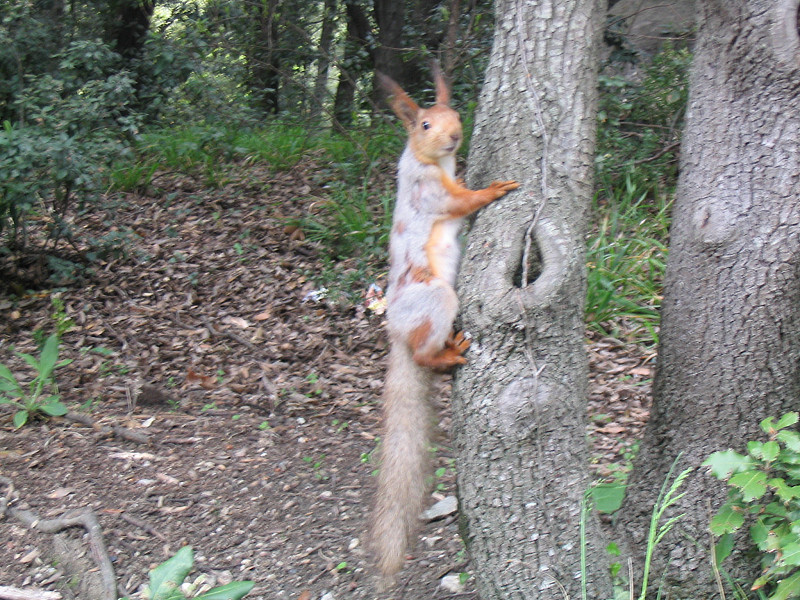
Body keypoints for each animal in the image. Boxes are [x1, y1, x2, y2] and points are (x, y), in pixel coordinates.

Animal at [370, 64, 520, 580]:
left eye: (455, 114)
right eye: (424, 125)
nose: (455, 136)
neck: (434, 163)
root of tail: (395, 331)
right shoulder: (429, 194)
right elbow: (462, 202)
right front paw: (494, 189)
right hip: (435, 298)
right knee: (422, 354)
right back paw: (447, 354)